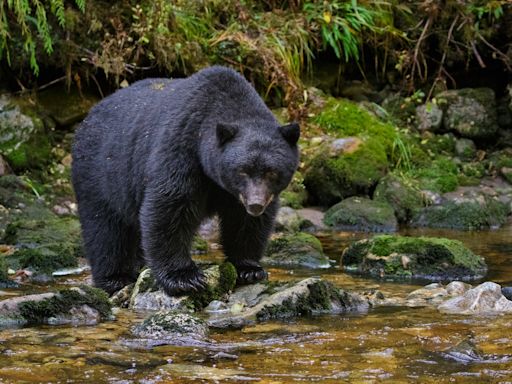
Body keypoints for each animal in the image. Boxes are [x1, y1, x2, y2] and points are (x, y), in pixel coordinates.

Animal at [72, 66, 300, 296]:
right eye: (242, 171)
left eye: (271, 172)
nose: (255, 204)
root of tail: (89, 116)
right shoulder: (182, 146)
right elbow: (170, 207)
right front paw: (184, 277)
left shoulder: (238, 194)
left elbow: (244, 221)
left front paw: (249, 268)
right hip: (100, 173)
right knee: (105, 229)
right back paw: (115, 277)